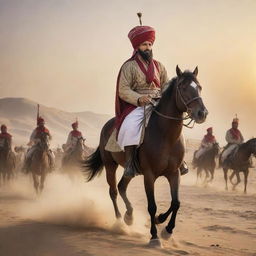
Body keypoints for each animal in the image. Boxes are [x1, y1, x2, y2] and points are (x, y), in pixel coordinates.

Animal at [83, 66, 207, 246]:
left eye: (199, 87)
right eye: (183, 87)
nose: (201, 113)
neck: (165, 135)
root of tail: (107, 125)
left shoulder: (174, 173)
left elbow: (176, 202)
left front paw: (165, 227)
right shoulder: (149, 175)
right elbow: (152, 206)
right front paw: (154, 236)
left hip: (130, 170)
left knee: (122, 186)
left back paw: (129, 216)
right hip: (110, 165)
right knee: (113, 191)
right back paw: (119, 221)